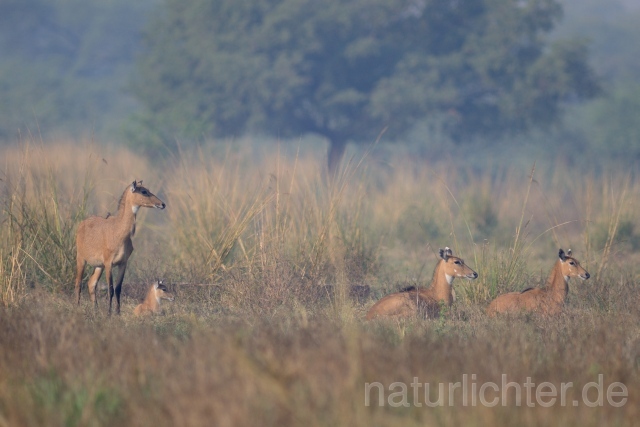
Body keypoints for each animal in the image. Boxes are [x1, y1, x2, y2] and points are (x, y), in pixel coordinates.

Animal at [74, 181, 165, 314]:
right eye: (144, 191)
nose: (162, 204)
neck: (119, 231)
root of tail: (82, 224)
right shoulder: (109, 263)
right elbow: (111, 289)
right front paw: (109, 313)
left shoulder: (123, 263)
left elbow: (118, 289)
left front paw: (117, 313)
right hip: (81, 259)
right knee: (78, 283)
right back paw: (78, 307)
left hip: (98, 266)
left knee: (91, 283)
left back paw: (95, 310)